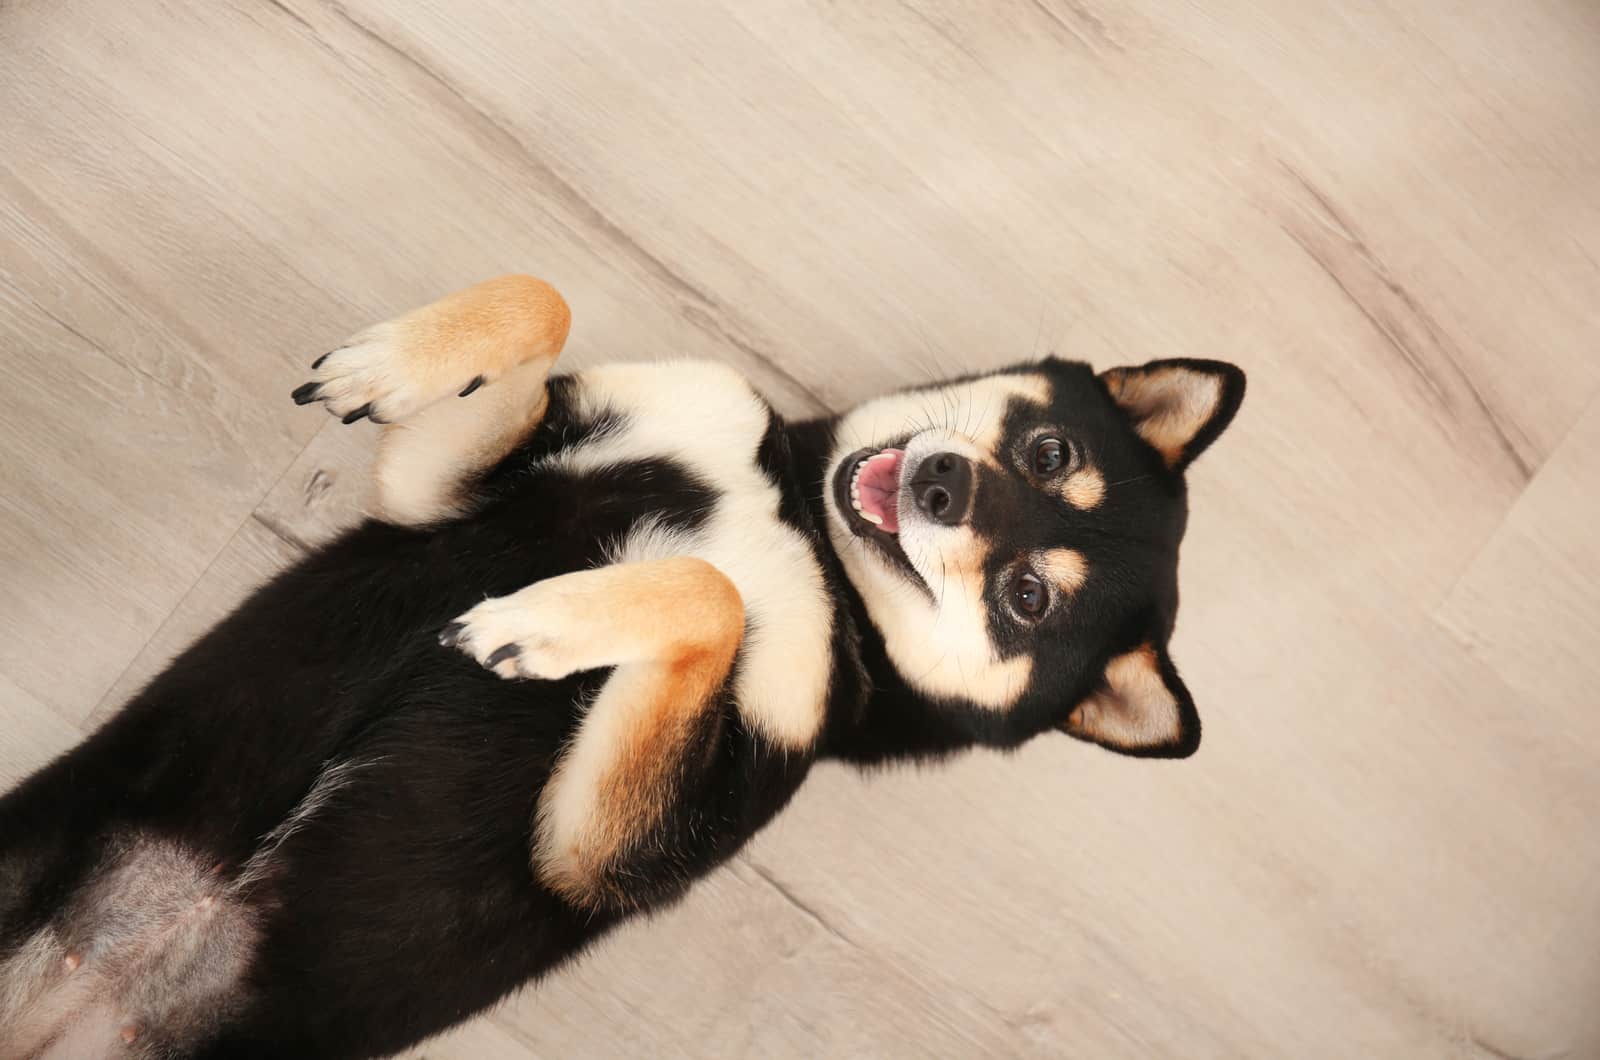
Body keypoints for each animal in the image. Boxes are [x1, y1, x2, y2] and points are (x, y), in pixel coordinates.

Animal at [0, 278, 1248, 1056]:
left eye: (1026, 598)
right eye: (1048, 449)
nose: (945, 485)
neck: (797, 520)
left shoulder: (599, 846)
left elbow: (709, 590)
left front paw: (547, 625)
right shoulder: (448, 494)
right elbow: (542, 296)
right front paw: (391, 362)